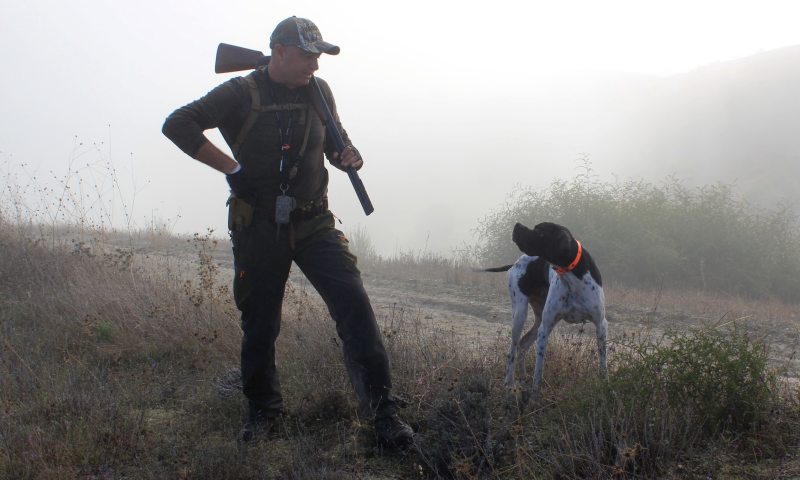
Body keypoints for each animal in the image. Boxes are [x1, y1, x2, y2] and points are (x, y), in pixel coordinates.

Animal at [482, 221, 608, 398]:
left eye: (540, 231)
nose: (517, 224)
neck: (571, 274)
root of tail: (515, 262)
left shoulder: (601, 325)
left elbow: (603, 364)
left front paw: (605, 386)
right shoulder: (545, 329)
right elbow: (538, 370)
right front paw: (535, 395)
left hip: (539, 319)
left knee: (523, 343)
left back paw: (522, 376)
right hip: (520, 315)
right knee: (512, 350)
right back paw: (509, 382)